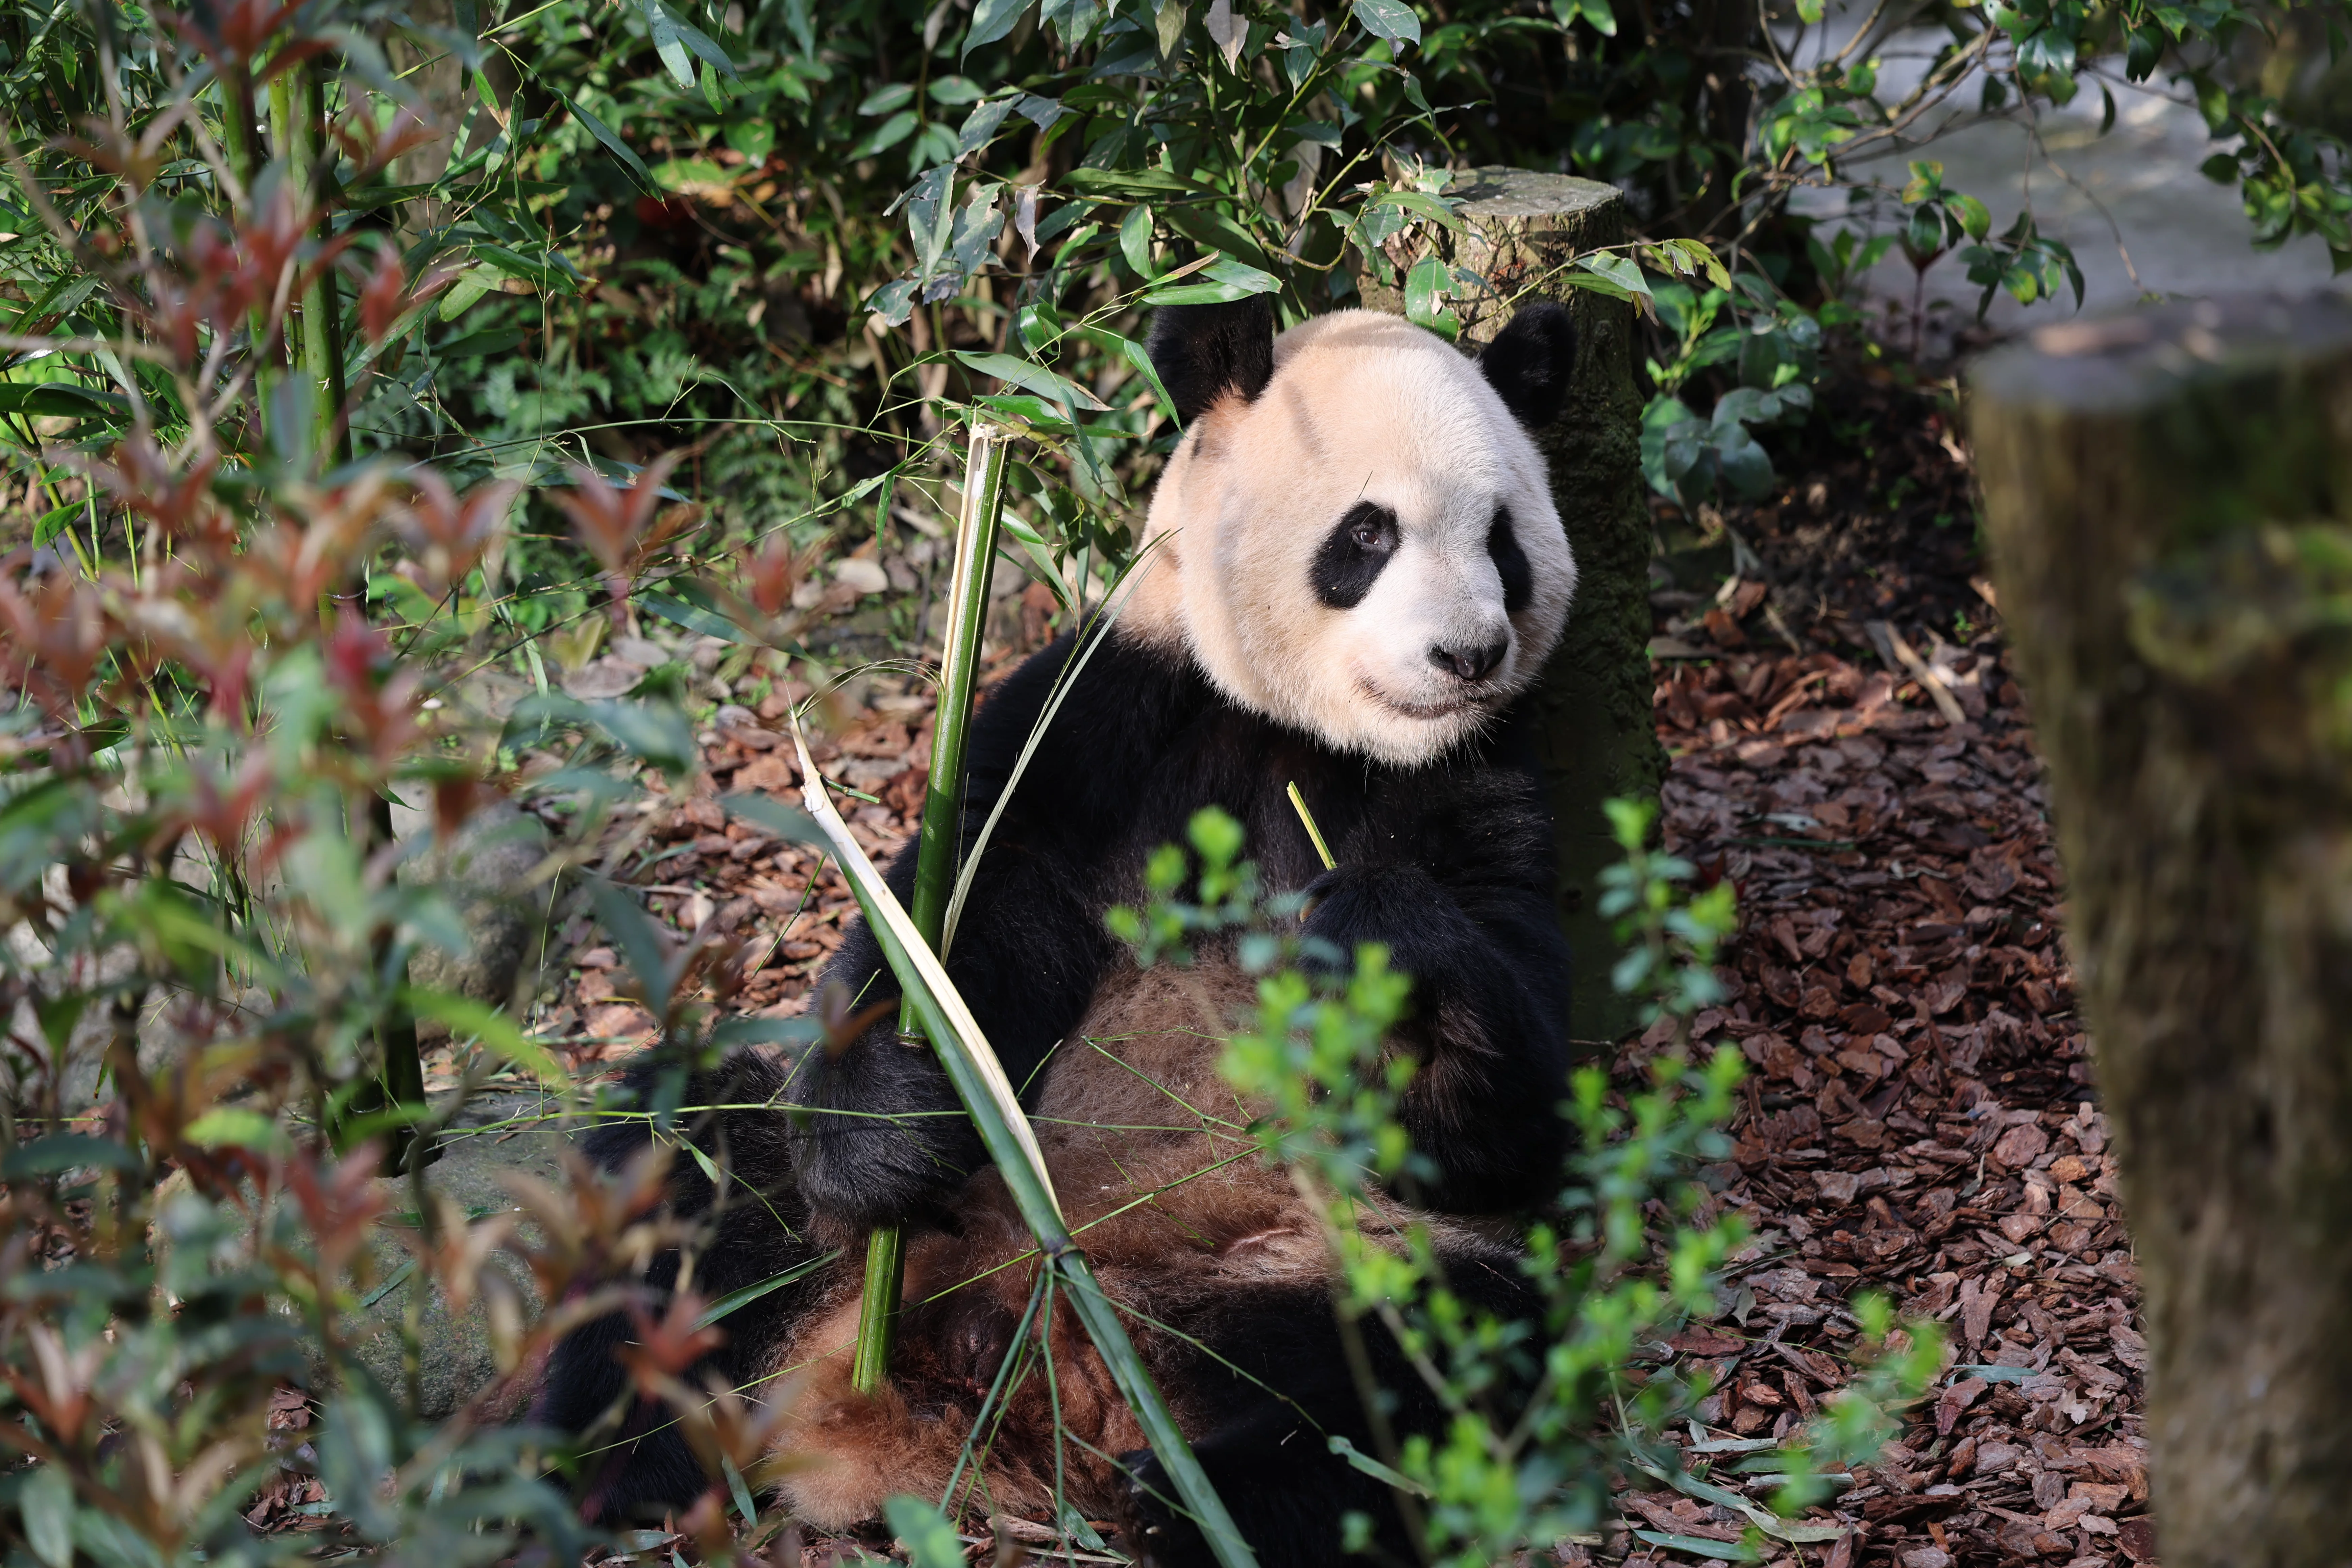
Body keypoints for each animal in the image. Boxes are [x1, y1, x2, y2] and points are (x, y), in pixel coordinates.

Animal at [539, 297, 1584, 1567]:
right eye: (1368, 534)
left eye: (1503, 542)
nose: (1469, 654)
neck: (1313, 737)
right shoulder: (1108, 708)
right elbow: (973, 901)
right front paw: (893, 1112)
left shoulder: (1485, 781)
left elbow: (1511, 1100)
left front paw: (1380, 936)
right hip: (815, 1205)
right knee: (692, 1174)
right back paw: (596, 1466)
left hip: (1339, 1249)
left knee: (1427, 1361)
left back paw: (1192, 1499)